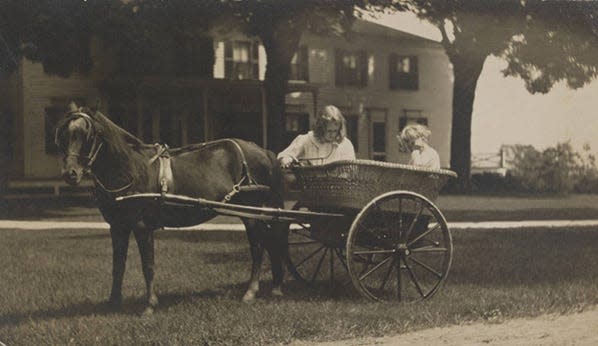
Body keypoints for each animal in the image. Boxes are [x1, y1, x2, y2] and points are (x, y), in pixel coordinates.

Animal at [55, 102, 290, 314]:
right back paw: (276, 287)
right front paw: (113, 302)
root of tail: (263, 151)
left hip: (251, 213)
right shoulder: (117, 227)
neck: (132, 170)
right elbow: (118, 265)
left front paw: (150, 305)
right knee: (270, 242)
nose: (70, 173)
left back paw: (251, 292)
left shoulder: (142, 227)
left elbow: (148, 266)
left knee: (258, 248)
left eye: (87, 134)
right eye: (64, 134)